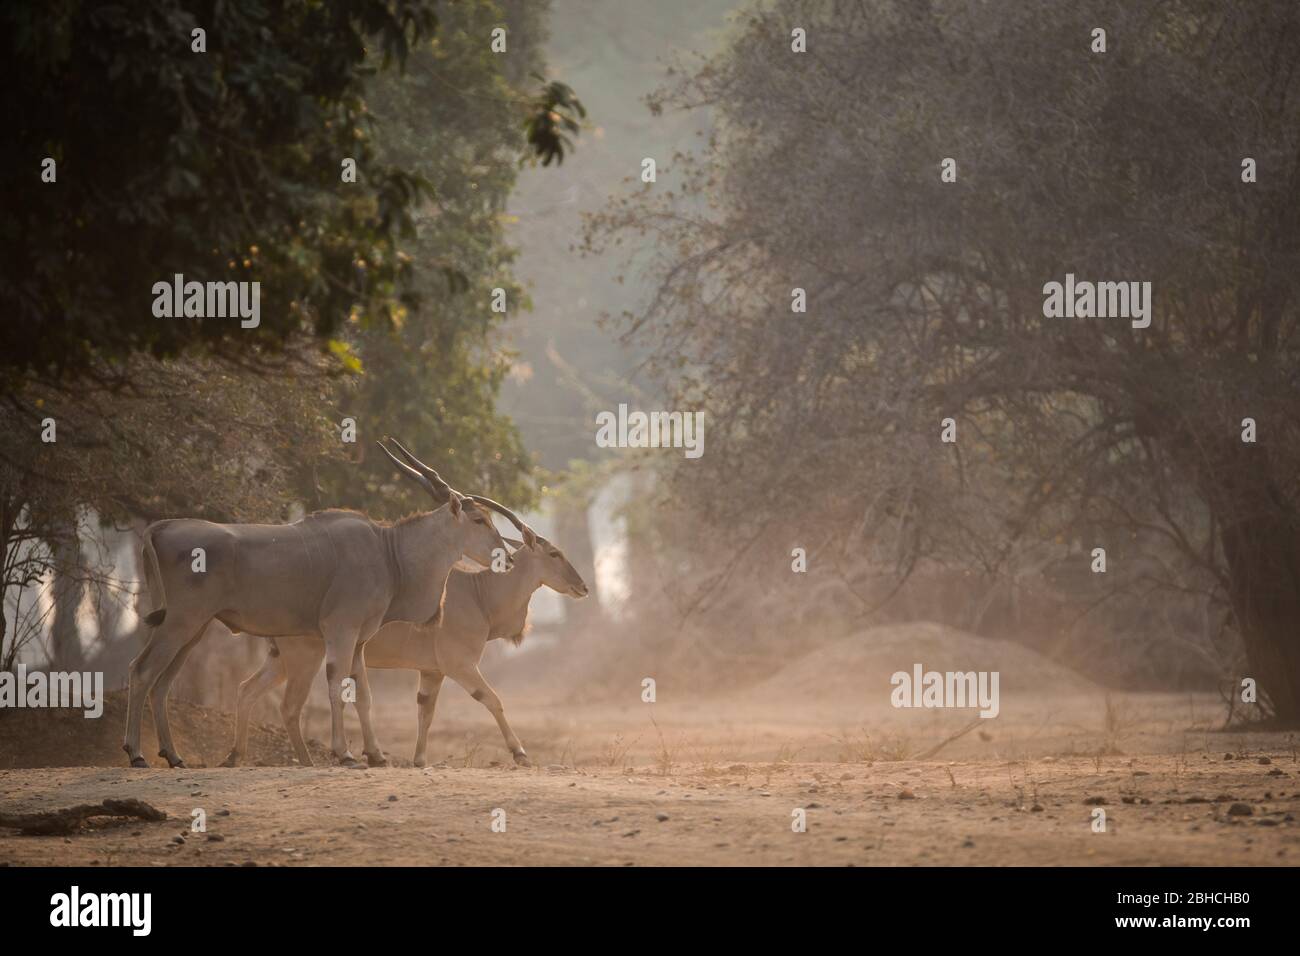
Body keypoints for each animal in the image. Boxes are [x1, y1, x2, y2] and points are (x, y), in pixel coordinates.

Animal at [122, 442, 527, 770]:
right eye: (479, 519)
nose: (507, 557)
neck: (389, 552)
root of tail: (159, 527)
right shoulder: (341, 630)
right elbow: (337, 685)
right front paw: (345, 753)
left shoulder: (359, 640)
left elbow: (363, 695)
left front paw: (375, 755)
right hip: (181, 622)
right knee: (142, 670)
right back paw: (137, 754)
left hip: (193, 628)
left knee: (164, 682)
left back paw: (174, 756)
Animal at [224, 528, 590, 764]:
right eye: (554, 553)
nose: (583, 587)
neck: (479, 593)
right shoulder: (460, 666)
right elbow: (493, 700)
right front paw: (520, 753)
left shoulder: (432, 672)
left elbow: (425, 711)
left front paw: (419, 760)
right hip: (305, 658)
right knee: (289, 705)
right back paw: (307, 760)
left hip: (280, 660)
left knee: (246, 689)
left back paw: (236, 756)